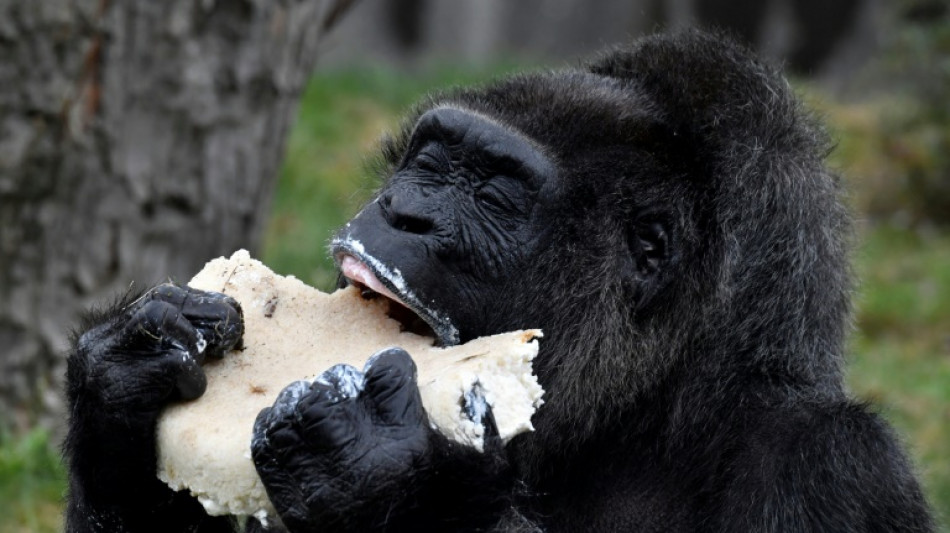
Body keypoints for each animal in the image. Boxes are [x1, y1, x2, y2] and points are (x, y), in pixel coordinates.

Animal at [65, 31, 936, 528]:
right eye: (430, 161)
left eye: (493, 193)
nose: (404, 210)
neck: (652, 414)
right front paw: (121, 370)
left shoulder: (833, 467)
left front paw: (386, 470)